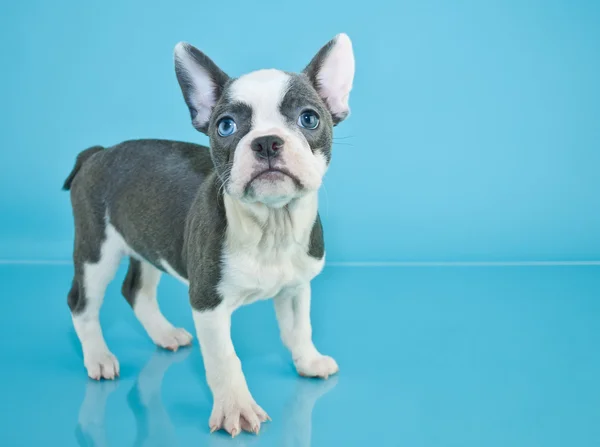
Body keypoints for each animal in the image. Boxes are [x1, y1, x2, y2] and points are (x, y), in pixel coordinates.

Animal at [63, 34, 354, 438]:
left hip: (147, 241)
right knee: (82, 302)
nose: (267, 141)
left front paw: (308, 362)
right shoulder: (208, 304)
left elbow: (299, 328)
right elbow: (225, 359)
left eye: (309, 118)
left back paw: (164, 334)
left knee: (136, 290)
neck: (271, 226)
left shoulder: (297, 287)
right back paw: (99, 358)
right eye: (226, 126)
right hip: (96, 251)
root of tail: (97, 153)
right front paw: (236, 408)